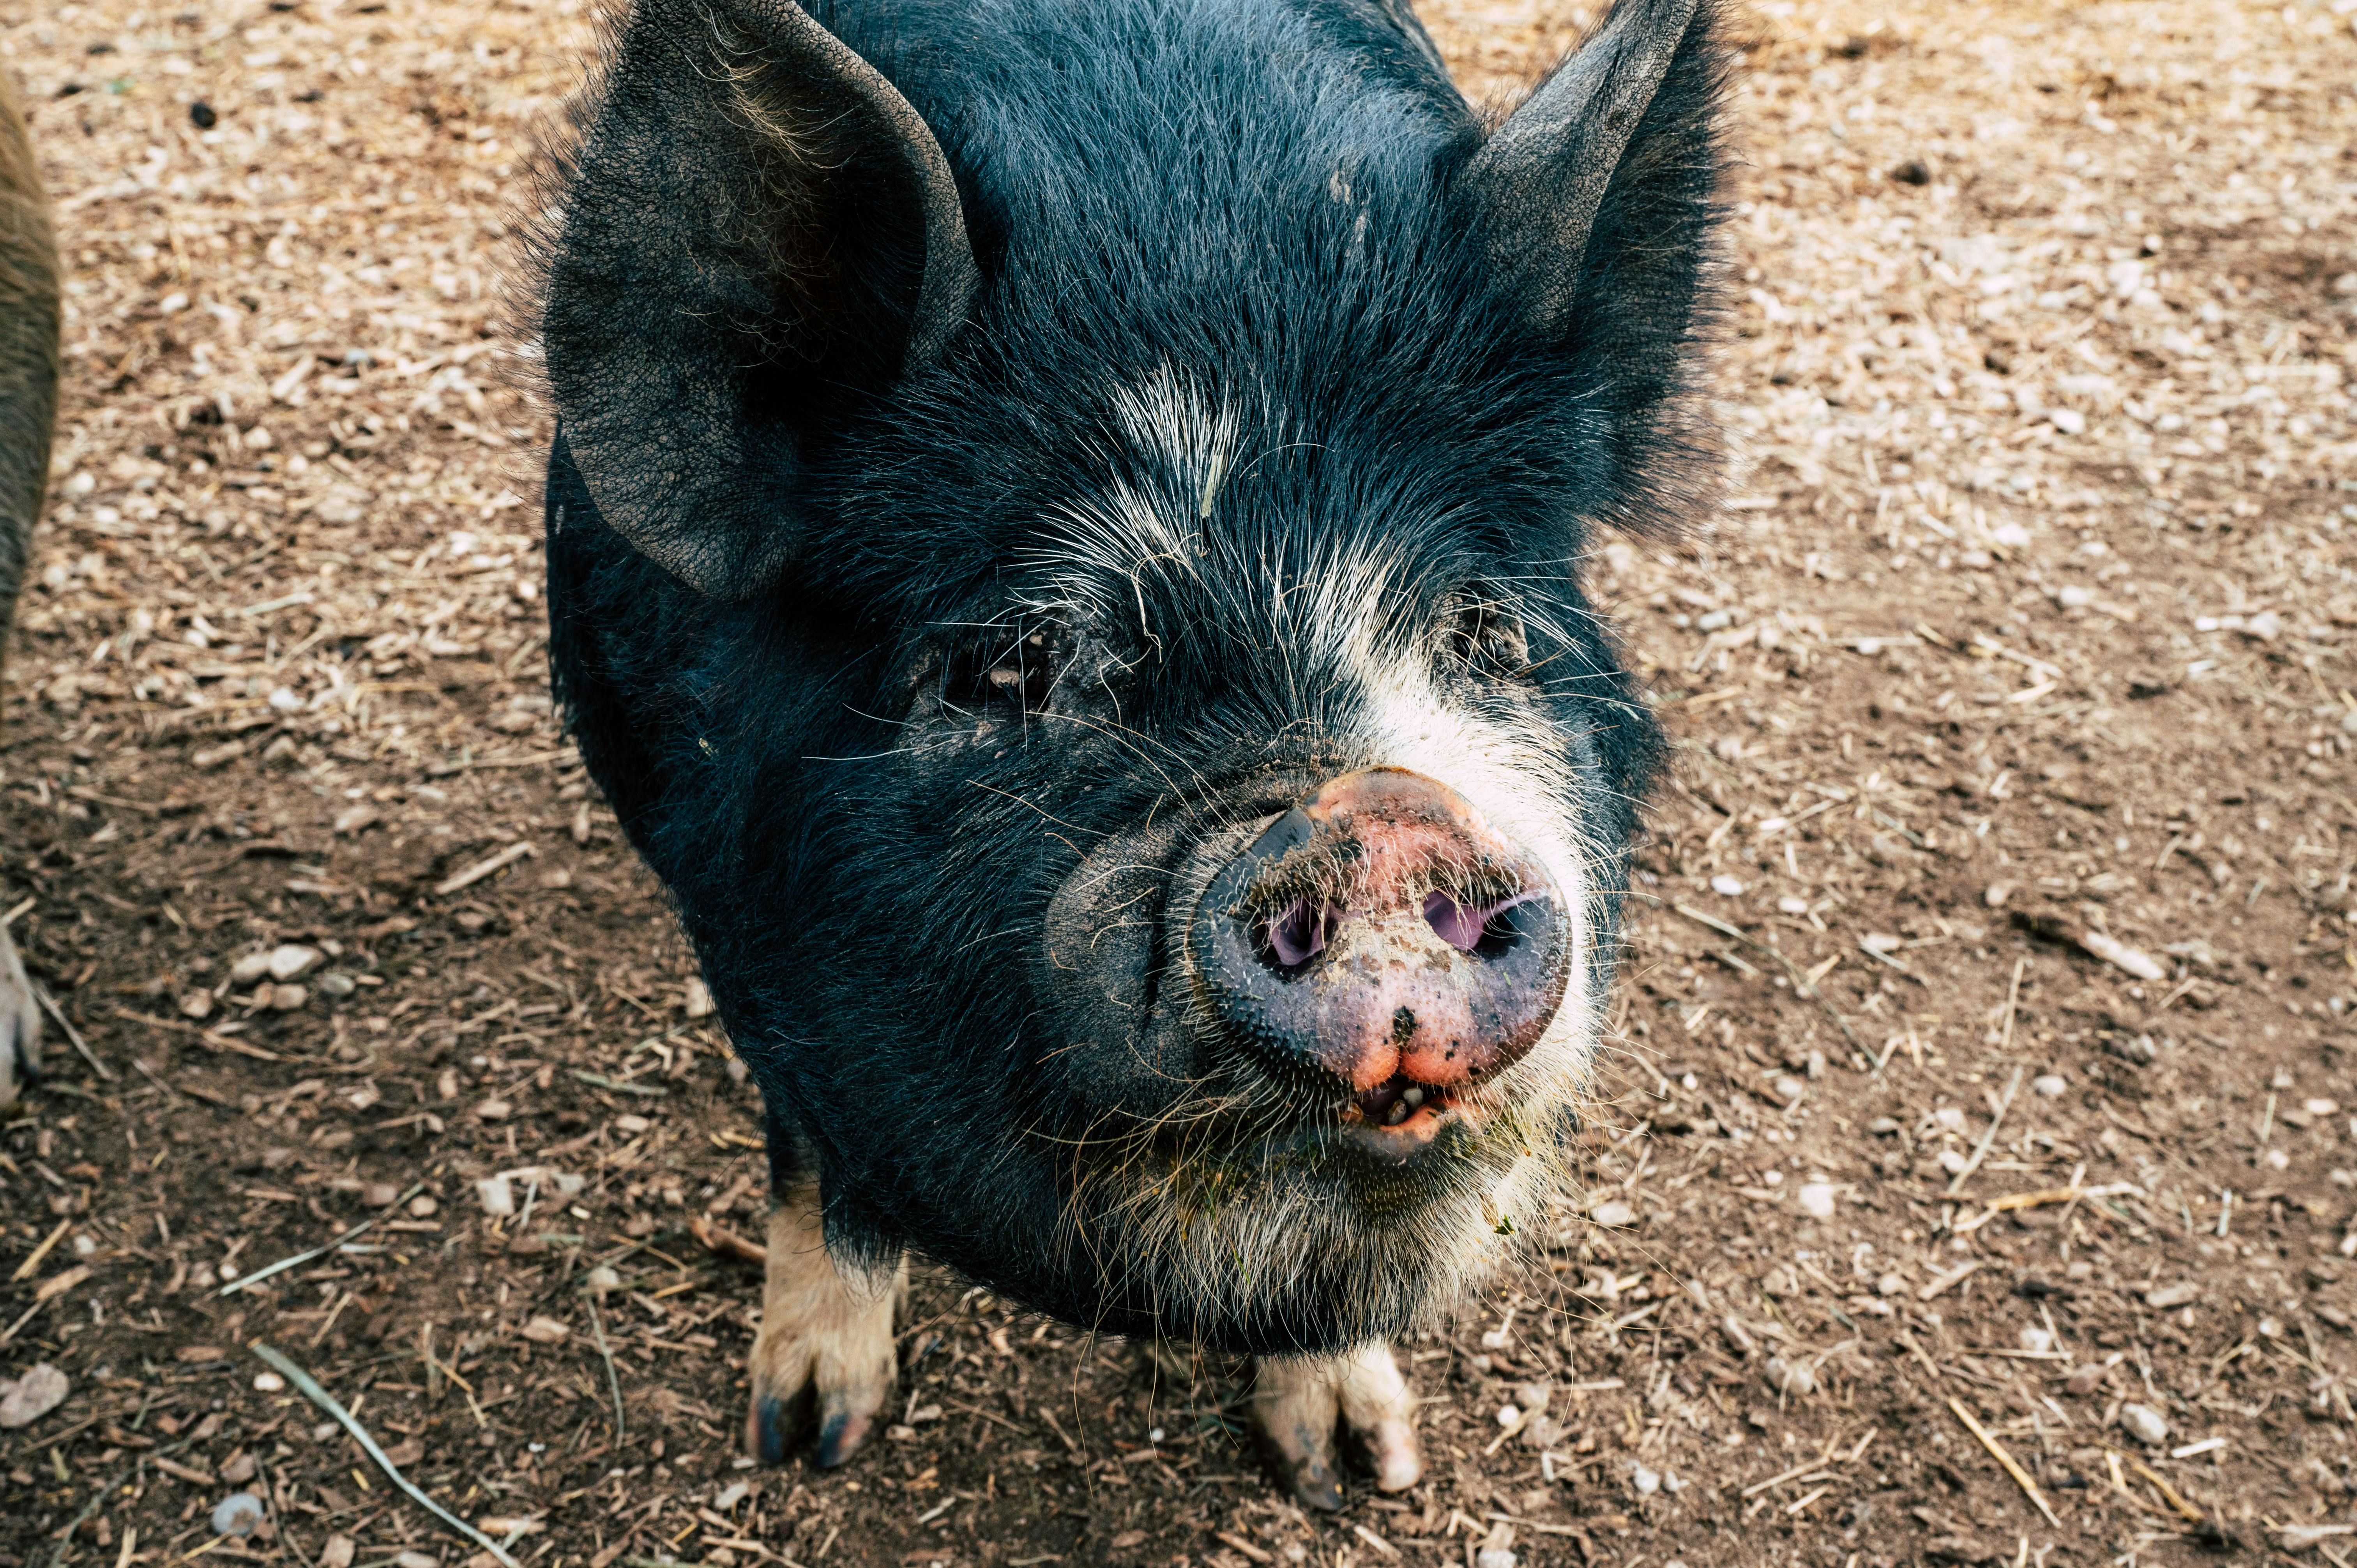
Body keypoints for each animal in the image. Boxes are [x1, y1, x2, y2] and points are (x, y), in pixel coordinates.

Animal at [530, 0, 1716, 1509]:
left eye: (1484, 629)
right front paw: (806, 1436)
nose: (1379, 814)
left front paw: (1356, 1469)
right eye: (1009, 663)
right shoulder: (735, 922)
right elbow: (820, 1158)